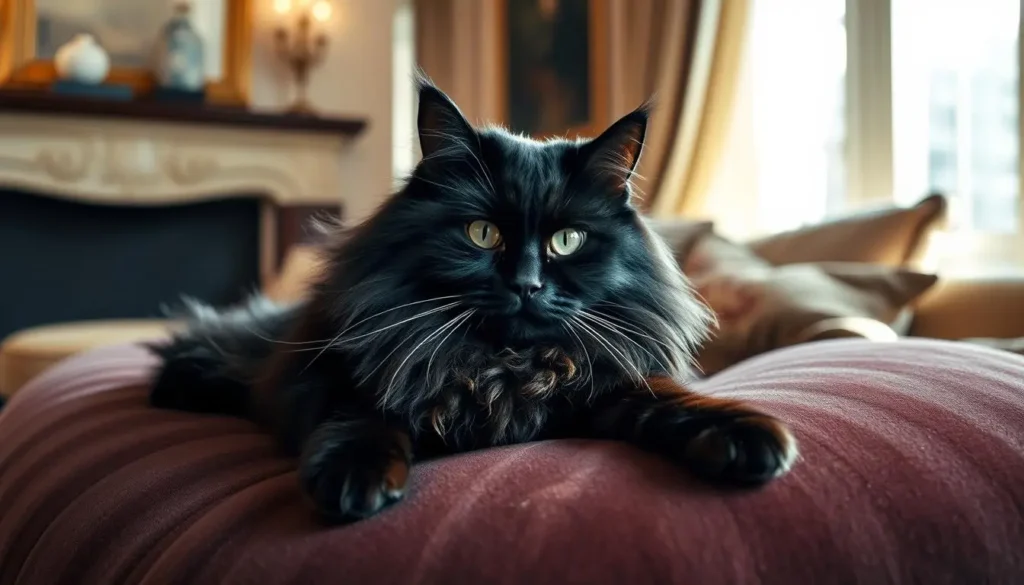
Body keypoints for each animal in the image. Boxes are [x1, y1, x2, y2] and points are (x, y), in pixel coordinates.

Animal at [148, 76, 798, 522]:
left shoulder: (602, 380)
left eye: (567, 240)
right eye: (482, 233)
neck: (500, 367)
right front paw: (356, 476)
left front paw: (746, 437)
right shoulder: (333, 371)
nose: (527, 284)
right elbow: (364, 410)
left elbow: (669, 397)